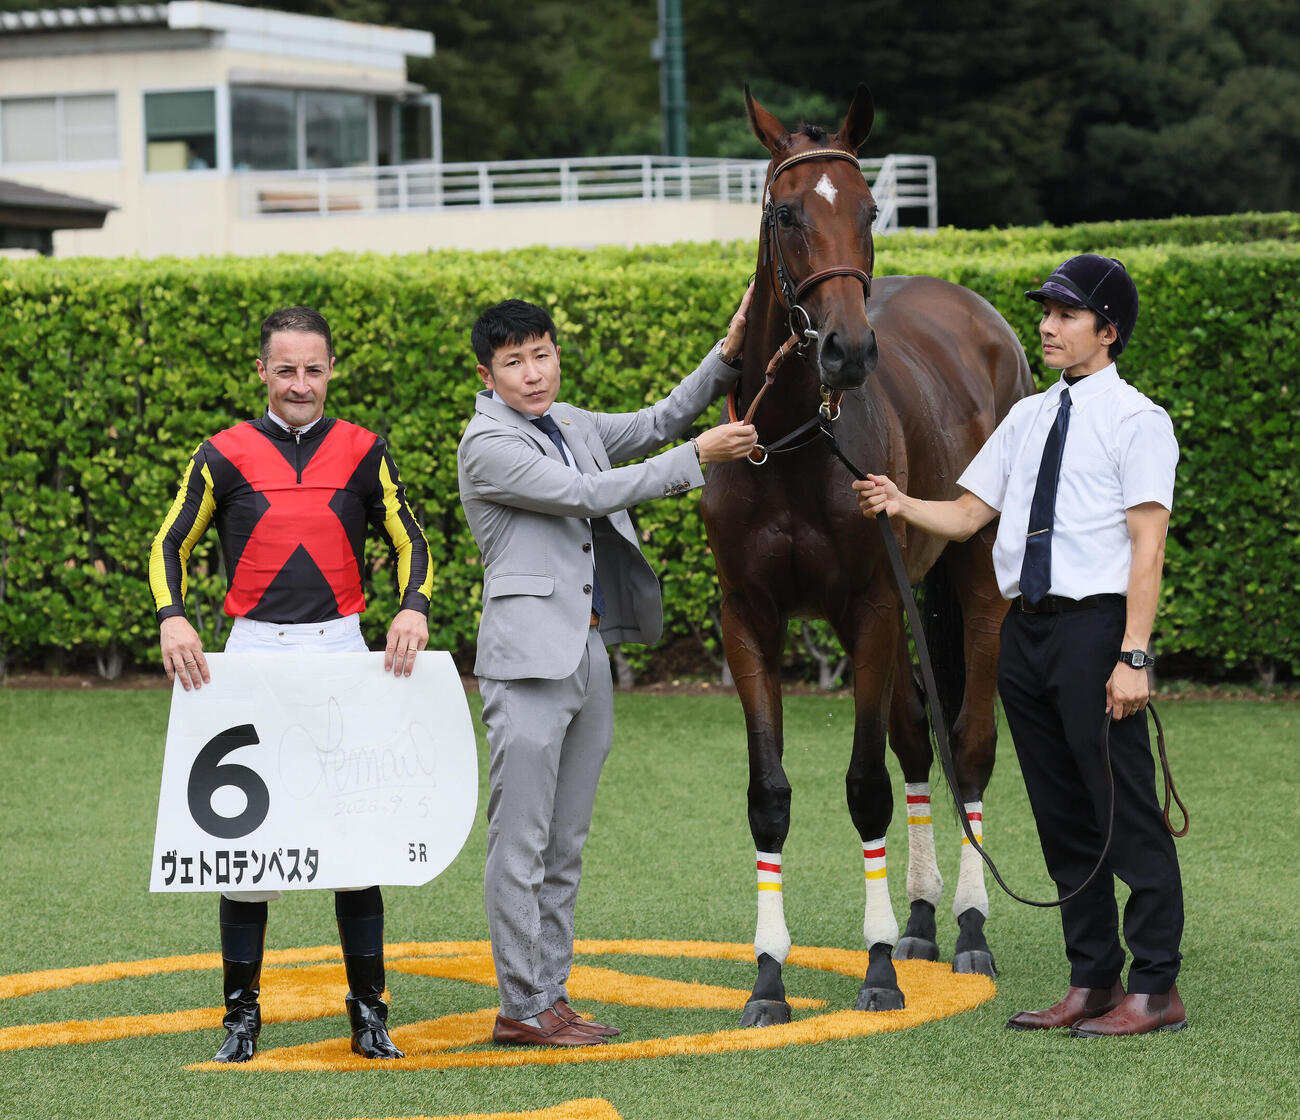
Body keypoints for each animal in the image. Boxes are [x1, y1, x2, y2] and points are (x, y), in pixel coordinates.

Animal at [700, 85, 1034, 1024]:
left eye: (870, 210)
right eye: (784, 213)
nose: (847, 350)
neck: (792, 440)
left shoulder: (873, 609)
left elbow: (865, 788)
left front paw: (878, 968)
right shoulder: (750, 618)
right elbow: (771, 796)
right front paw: (768, 977)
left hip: (969, 583)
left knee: (966, 748)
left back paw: (968, 930)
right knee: (918, 744)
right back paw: (921, 920)